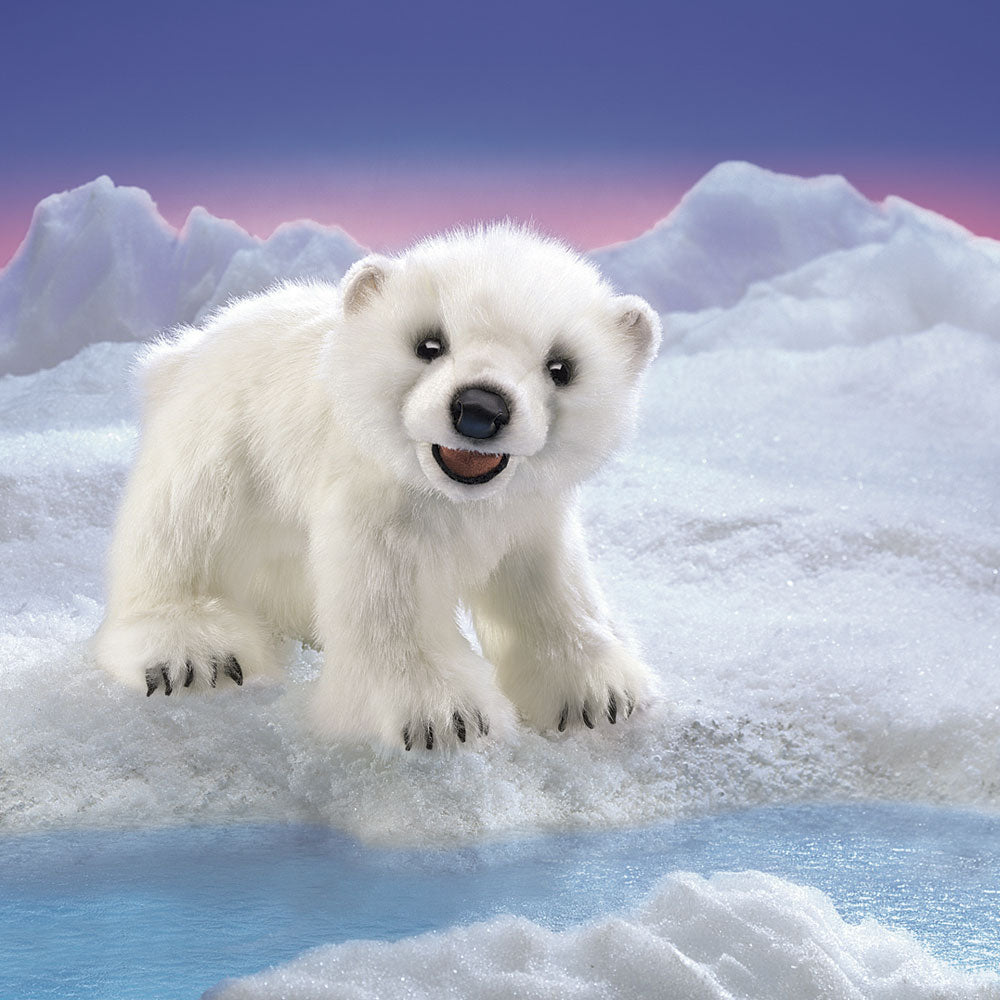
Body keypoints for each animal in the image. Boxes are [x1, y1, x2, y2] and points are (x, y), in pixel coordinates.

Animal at [94, 224, 662, 751]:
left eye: (560, 367)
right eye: (429, 344)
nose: (480, 408)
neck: (458, 500)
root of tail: (181, 350)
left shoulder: (530, 515)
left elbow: (549, 585)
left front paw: (598, 696)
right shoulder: (382, 510)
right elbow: (390, 603)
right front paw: (444, 718)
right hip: (223, 442)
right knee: (184, 529)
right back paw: (195, 655)